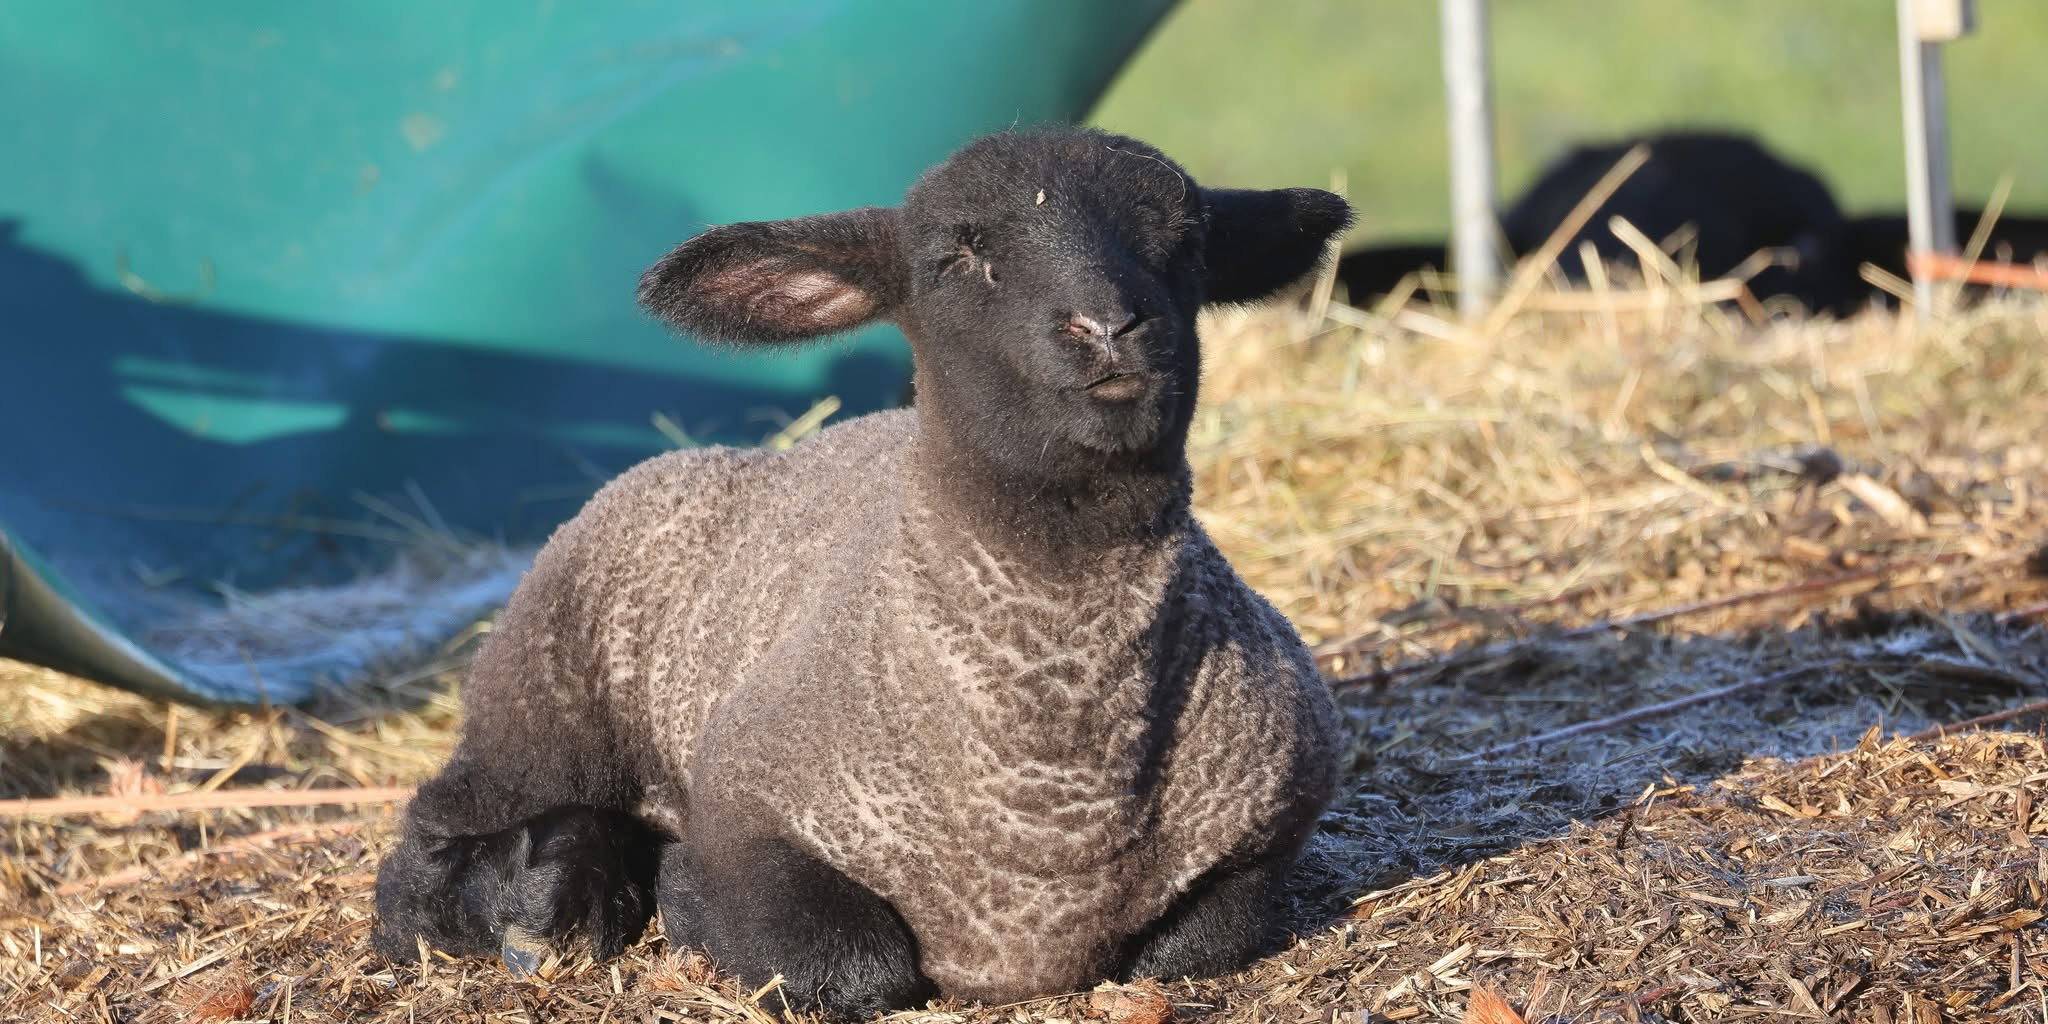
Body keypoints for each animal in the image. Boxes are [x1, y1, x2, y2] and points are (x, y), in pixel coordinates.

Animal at [370, 126, 1351, 1019]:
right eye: (957, 257)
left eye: (1186, 244)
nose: (1109, 327)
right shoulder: (749, 803)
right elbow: (854, 969)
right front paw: (681, 893)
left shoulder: (1272, 820)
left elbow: (1189, 947)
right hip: (544, 699)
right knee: (426, 854)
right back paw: (537, 903)